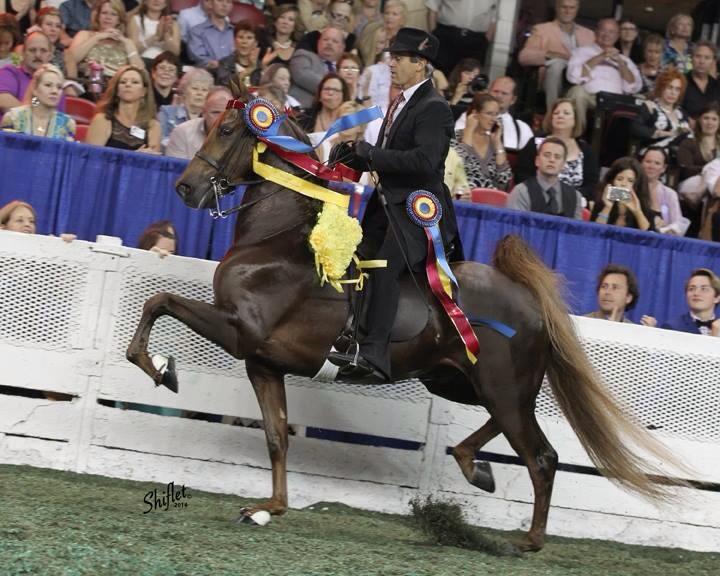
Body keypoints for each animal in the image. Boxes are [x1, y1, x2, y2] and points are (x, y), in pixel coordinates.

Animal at [126, 85, 682, 551]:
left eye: (225, 129)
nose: (185, 188)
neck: (277, 241)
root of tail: (527, 298)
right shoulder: (262, 363)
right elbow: (276, 437)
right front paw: (269, 509)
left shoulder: (241, 331)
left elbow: (160, 301)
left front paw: (162, 370)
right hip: (459, 380)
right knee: (506, 430)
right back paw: (474, 467)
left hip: (501, 384)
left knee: (541, 456)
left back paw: (528, 540)